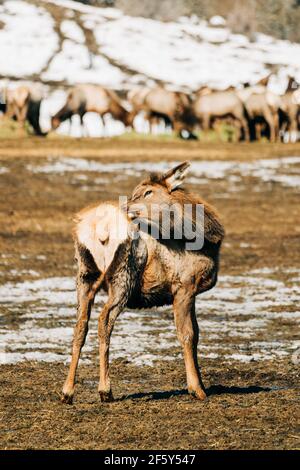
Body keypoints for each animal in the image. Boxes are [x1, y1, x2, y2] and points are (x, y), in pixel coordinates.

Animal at [61, 162, 225, 404]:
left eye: (148, 191)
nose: (127, 205)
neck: (209, 242)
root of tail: (99, 228)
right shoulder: (184, 286)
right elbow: (187, 334)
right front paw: (197, 389)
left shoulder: (190, 292)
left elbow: (196, 333)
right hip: (123, 276)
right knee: (104, 320)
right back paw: (105, 390)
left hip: (84, 275)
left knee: (80, 324)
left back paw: (67, 391)